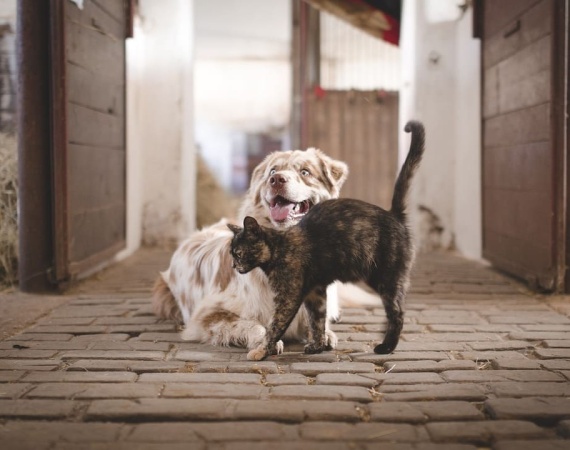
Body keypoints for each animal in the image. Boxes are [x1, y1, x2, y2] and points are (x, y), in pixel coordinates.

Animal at [152, 148, 346, 348]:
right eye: (272, 171)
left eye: (305, 172)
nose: (276, 180)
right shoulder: (207, 315)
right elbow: (253, 325)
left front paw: (323, 334)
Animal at [229, 121, 424, 360]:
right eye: (232, 254)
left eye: (239, 253)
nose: (234, 265)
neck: (279, 247)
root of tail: (393, 214)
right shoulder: (315, 292)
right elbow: (317, 321)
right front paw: (317, 345)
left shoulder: (288, 297)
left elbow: (274, 326)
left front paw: (262, 351)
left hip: (386, 278)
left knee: (397, 313)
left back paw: (386, 346)